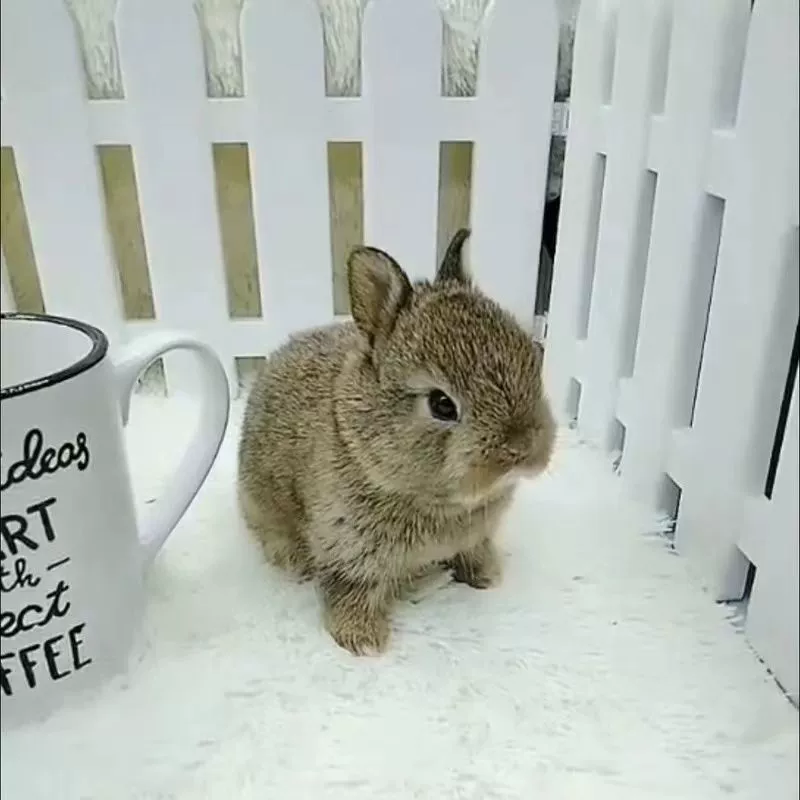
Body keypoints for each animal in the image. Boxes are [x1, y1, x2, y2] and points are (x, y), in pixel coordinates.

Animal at [237, 229, 556, 655]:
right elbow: (352, 590)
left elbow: (473, 550)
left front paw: (487, 575)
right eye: (441, 404)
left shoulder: (474, 534)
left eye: (534, 357)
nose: (523, 449)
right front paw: (364, 641)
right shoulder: (350, 550)